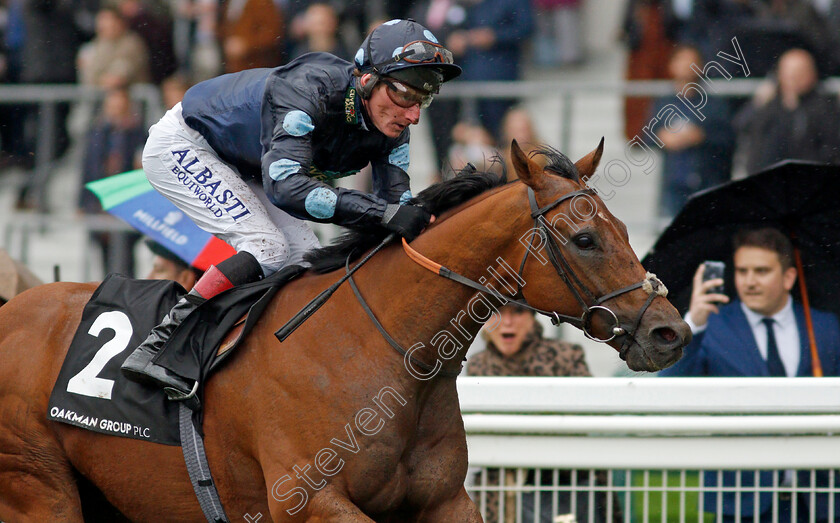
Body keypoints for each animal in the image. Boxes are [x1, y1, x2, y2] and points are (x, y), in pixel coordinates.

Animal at [0, 141, 688, 520]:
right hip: (38, 488)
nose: (669, 332)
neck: (378, 354)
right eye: (585, 238)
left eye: (624, 228)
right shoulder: (308, 502)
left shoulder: (443, 502)